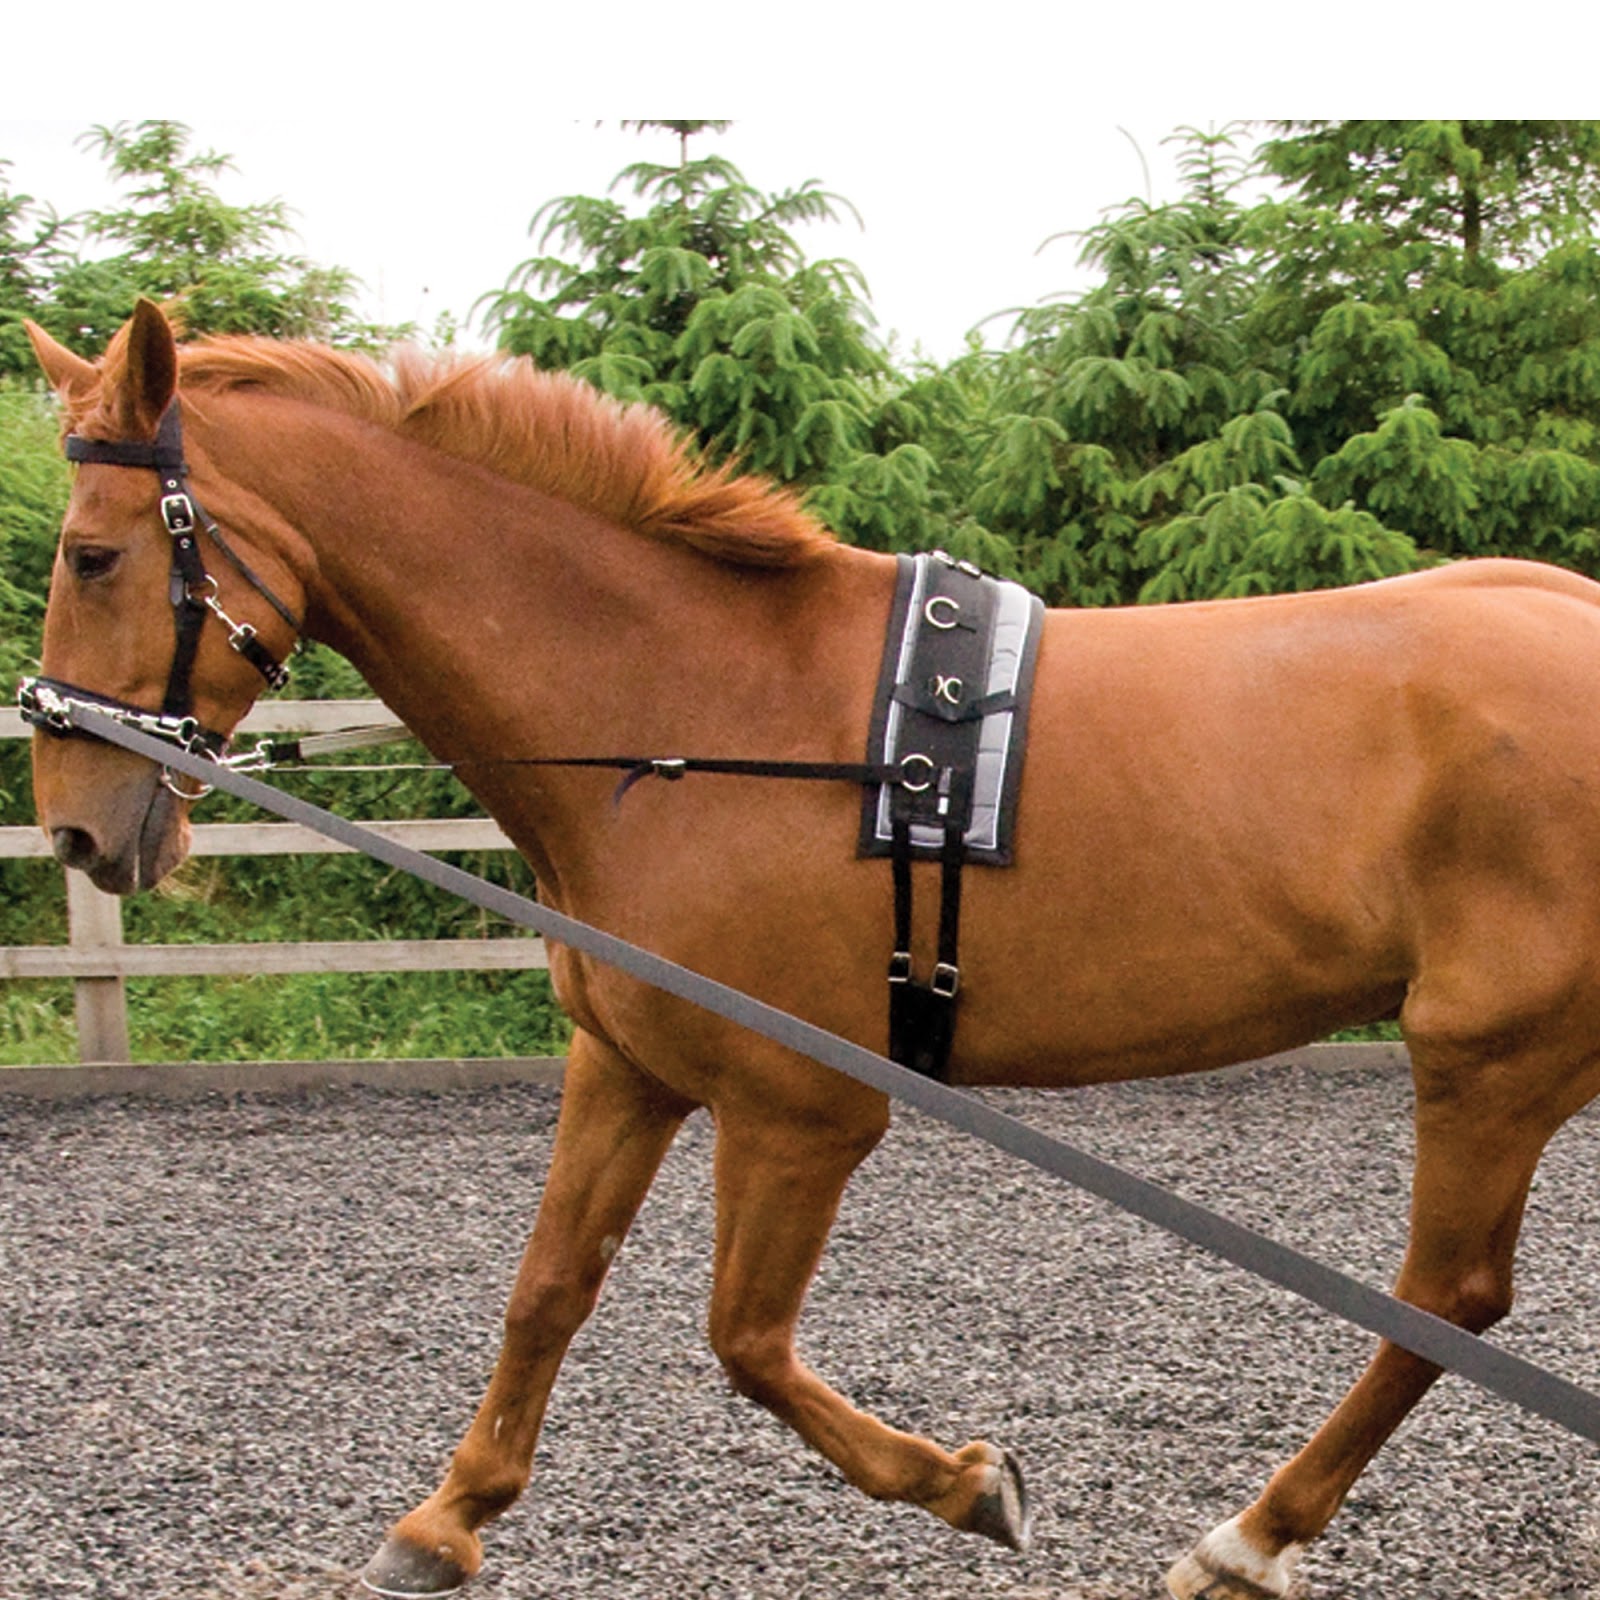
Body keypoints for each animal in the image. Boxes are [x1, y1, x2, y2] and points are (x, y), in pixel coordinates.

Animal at [18, 298, 1600, 1599]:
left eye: (92, 553)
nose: (79, 828)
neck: (690, 722)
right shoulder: (628, 1064)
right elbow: (548, 1288)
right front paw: (445, 1520)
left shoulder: (800, 1109)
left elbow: (745, 1338)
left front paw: (969, 1486)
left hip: (1487, 1055)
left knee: (1442, 1303)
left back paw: (1247, 1539)